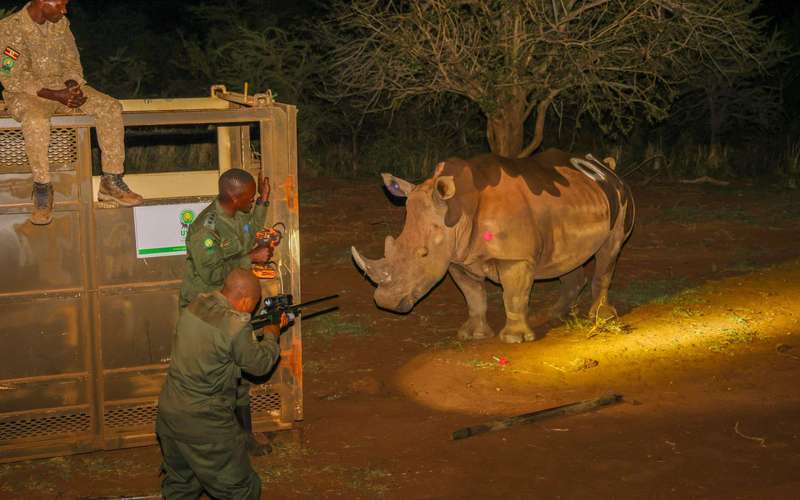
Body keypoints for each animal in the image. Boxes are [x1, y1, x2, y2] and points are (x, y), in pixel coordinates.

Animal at [351, 148, 635, 343]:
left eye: (423, 254)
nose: (386, 302)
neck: (457, 210)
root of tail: (606, 167)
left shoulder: (515, 257)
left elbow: (514, 295)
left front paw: (514, 339)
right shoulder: (457, 257)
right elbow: (473, 296)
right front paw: (472, 335)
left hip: (621, 200)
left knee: (609, 252)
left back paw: (601, 317)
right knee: (567, 258)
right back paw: (553, 315)